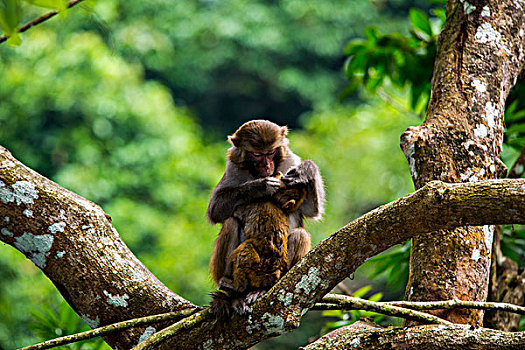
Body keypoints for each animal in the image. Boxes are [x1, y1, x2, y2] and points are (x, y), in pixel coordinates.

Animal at [206, 119, 324, 318]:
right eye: (257, 155)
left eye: (270, 153)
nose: (267, 167)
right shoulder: (233, 166)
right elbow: (215, 209)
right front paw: (260, 186)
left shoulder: (291, 162)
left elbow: (311, 210)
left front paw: (307, 169)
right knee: (231, 223)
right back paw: (235, 294)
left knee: (300, 234)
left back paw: (262, 289)